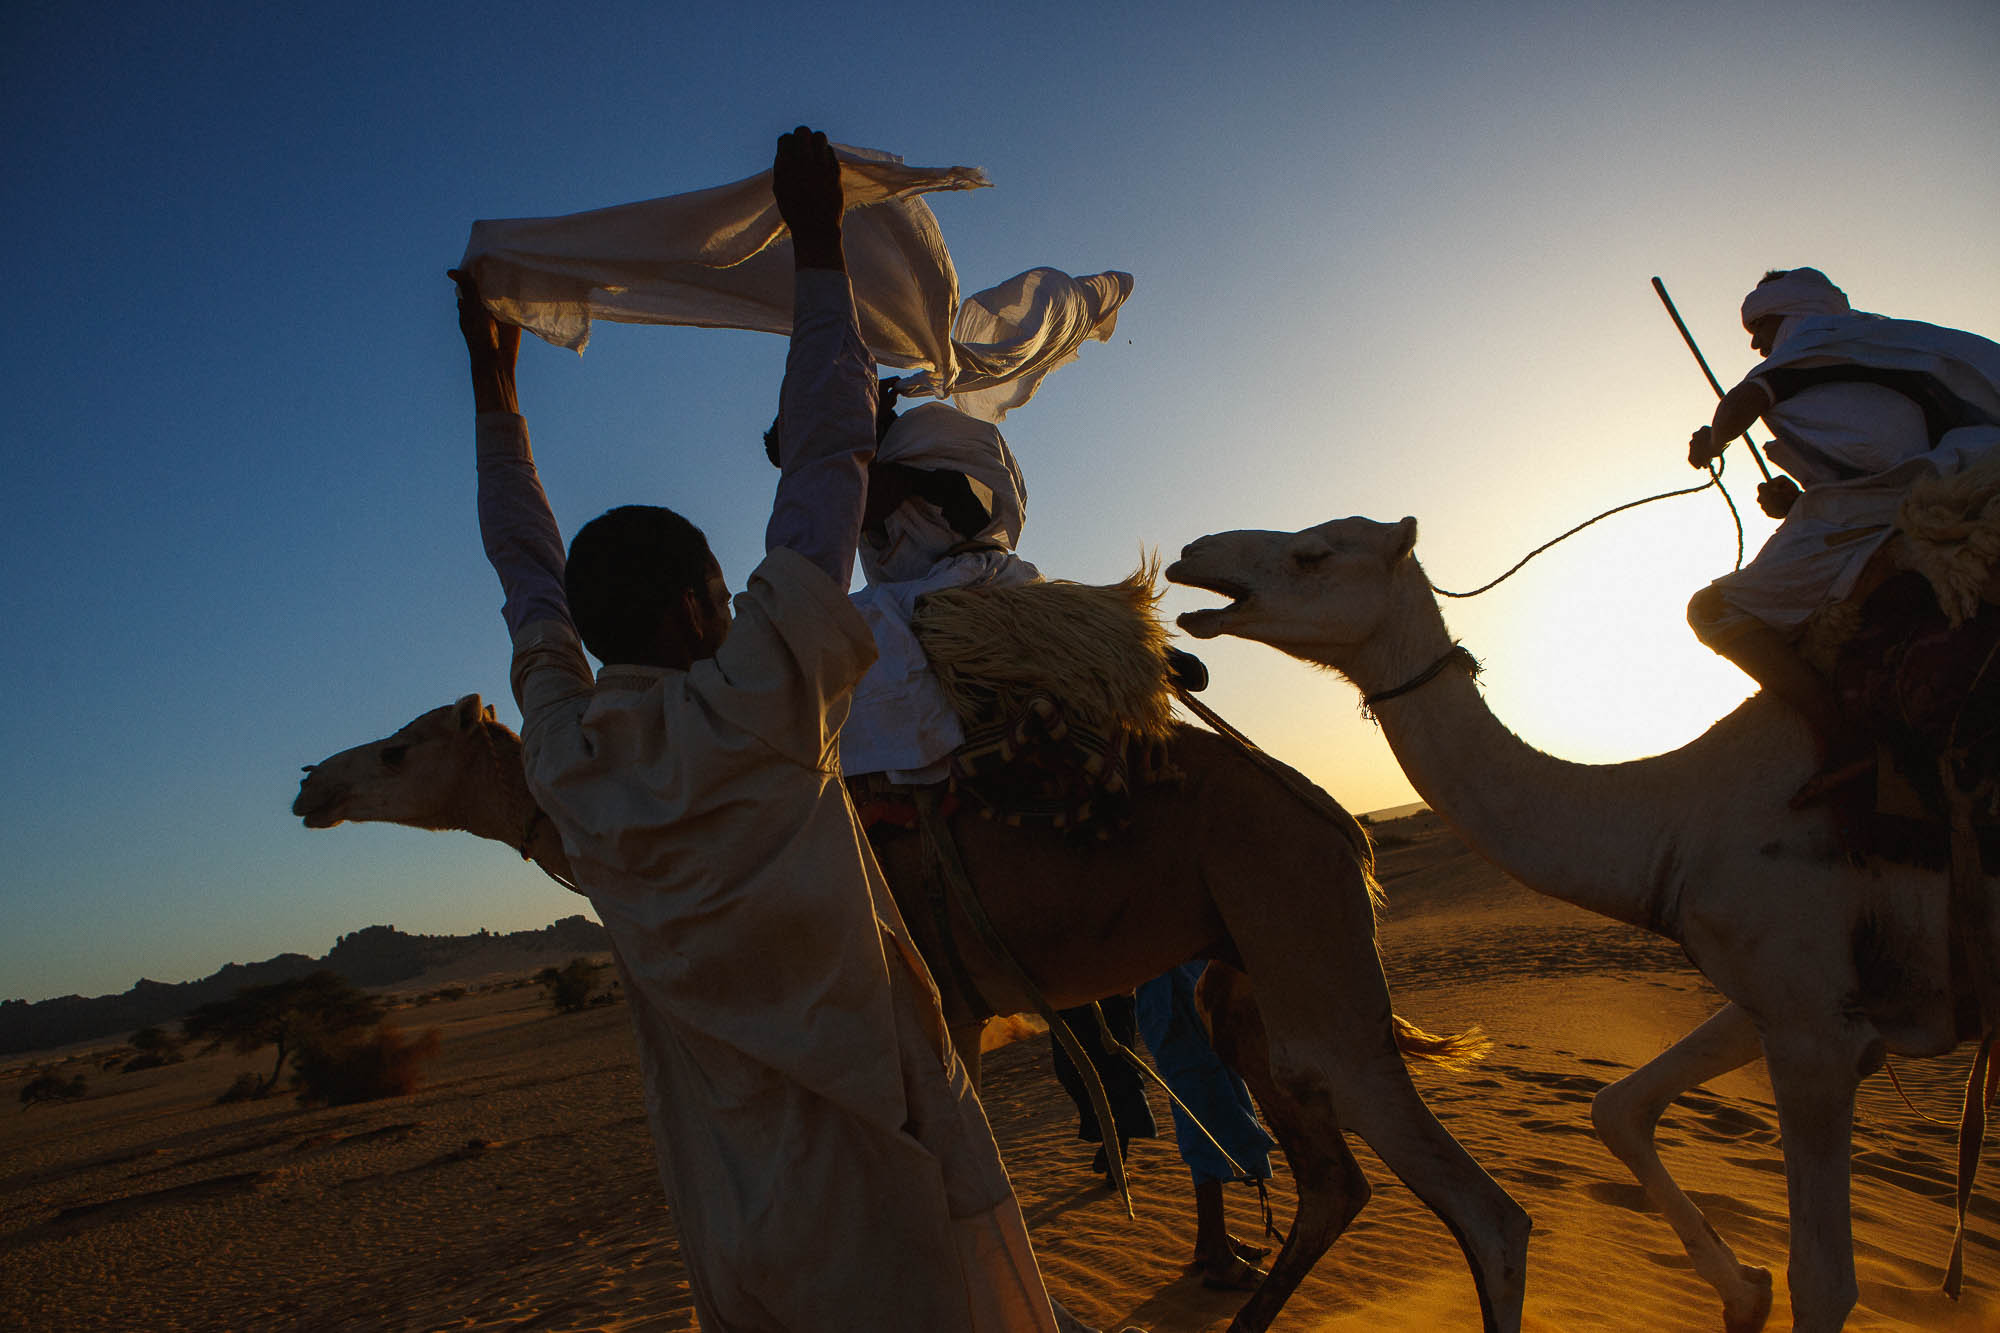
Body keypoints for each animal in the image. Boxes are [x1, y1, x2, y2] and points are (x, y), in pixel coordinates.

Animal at [290, 688, 1520, 1320]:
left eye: (396, 748)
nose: (312, 784)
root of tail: (1342, 821)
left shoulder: (932, 997)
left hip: (1294, 920)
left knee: (1480, 1209)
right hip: (1244, 973)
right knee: (1331, 1177)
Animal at [1168, 512, 1992, 1328]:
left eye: (1312, 554)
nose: (1189, 554)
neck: (1678, 819)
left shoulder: (1813, 1027)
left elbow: (1823, 1282)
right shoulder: (1787, 995)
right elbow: (1615, 1106)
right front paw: (1744, 1293)